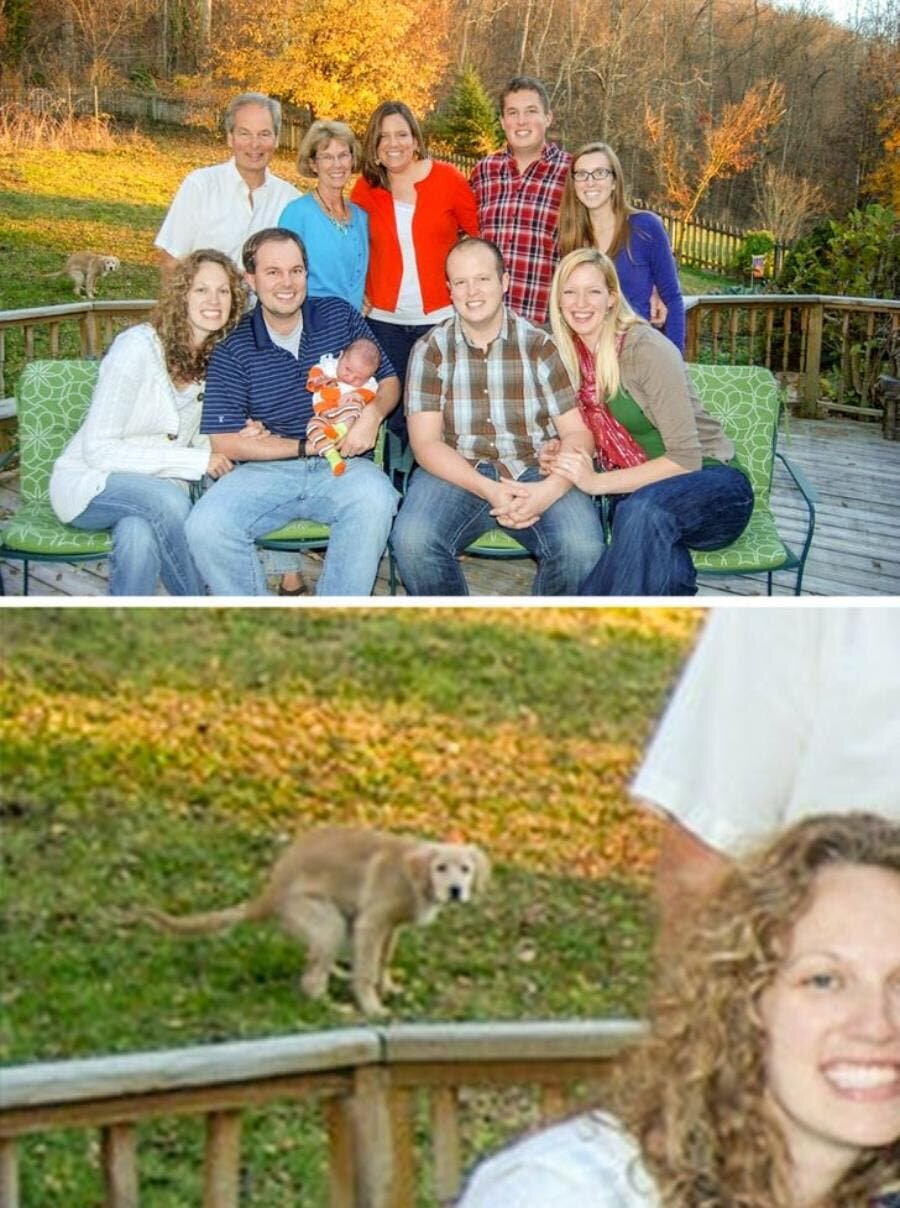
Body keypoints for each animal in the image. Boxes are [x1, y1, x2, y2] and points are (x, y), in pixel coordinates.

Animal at [141, 826, 490, 1014]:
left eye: (466, 869)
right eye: (441, 868)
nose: (456, 890)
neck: (415, 878)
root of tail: (268, 894)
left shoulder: (390, 928)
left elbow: (383, 961)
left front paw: (389, 987)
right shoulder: (372, 923)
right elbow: (367, 971)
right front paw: (372, 1006)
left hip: (340, 923)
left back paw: (338, 971)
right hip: (327, 921)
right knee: (310, 983)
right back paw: (336, 1007)